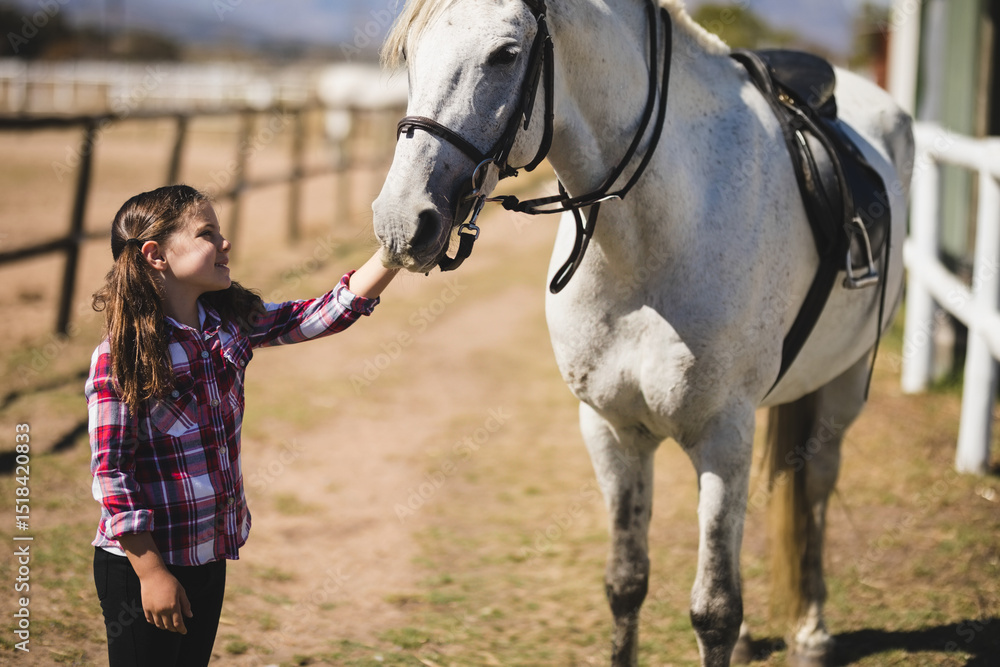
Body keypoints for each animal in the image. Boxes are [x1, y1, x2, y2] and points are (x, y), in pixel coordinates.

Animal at [371, 1, 914, 665]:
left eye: (505, 54)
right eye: (409, 54)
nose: (401, 223)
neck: (651, 241)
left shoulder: (722, 436)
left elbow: (715, 611)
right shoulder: (613, 431)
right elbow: (626, 584)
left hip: (842, 386)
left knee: (814, 487)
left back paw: (812, 631)